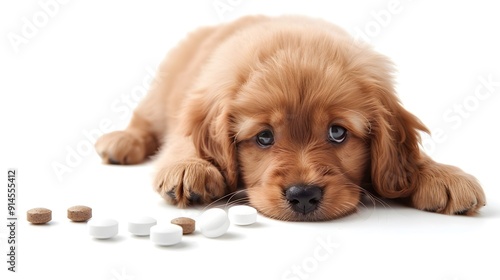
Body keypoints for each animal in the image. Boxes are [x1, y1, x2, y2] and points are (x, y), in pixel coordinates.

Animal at [94, 14, 484, 221]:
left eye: (338, 132)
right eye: (264, 137)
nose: (304, 196)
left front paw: (439, 174)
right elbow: (184, 141)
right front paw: (192, 167)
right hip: (162, 92)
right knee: (144, 121)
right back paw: (121, 141)